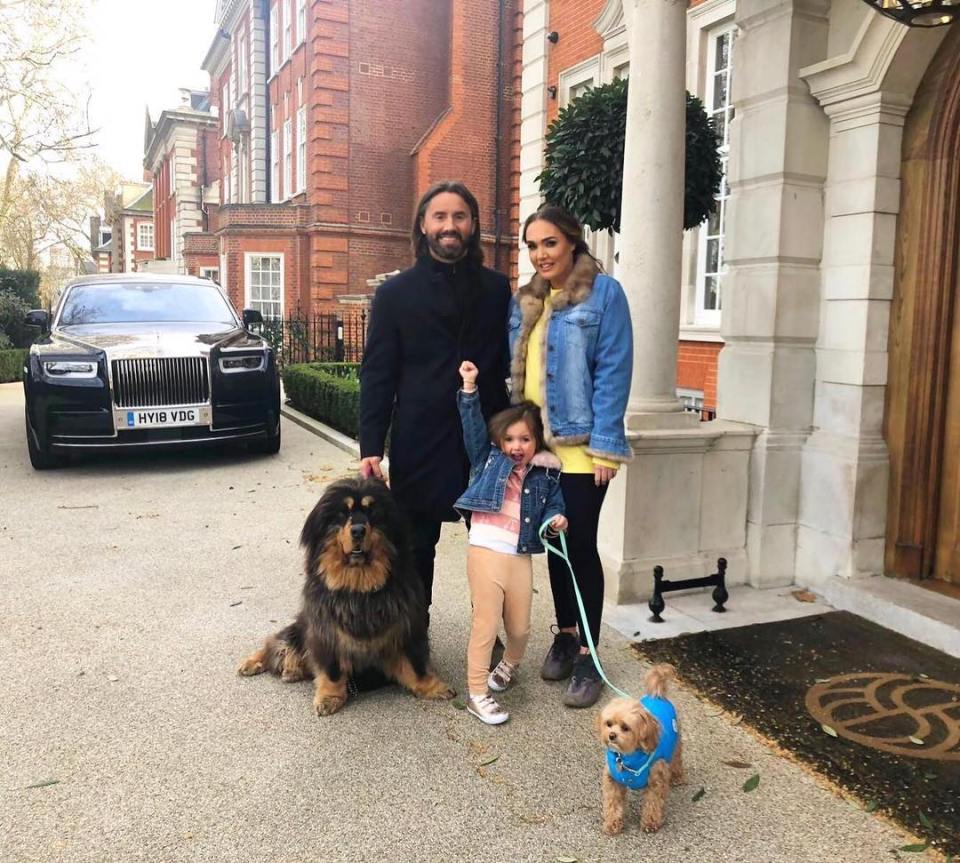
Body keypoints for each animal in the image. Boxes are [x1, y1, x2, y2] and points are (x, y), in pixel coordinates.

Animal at [236, 480, 454, 716]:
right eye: (343, 513)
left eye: (371, 512)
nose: (358, 530)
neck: (358, 586)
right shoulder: (325, 632)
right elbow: (331, 670)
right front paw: (330, 697)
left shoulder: (407, 627)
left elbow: (416, 664)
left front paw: (431, 687)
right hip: (300, 628)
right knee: (276, 643)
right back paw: (256, 663)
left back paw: (292, 670)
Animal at [596, 664, 688, 832]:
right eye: (609, 723)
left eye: (625, 728)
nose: (611, 735)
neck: (628, 757)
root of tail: (657, 696)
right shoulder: (613, 781)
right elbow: (613, 803)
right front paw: (612, 823)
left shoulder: (656, 780)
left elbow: (653, 802)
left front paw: (650, 822)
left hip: (676, 744)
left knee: (677, 760)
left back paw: (677, 777)